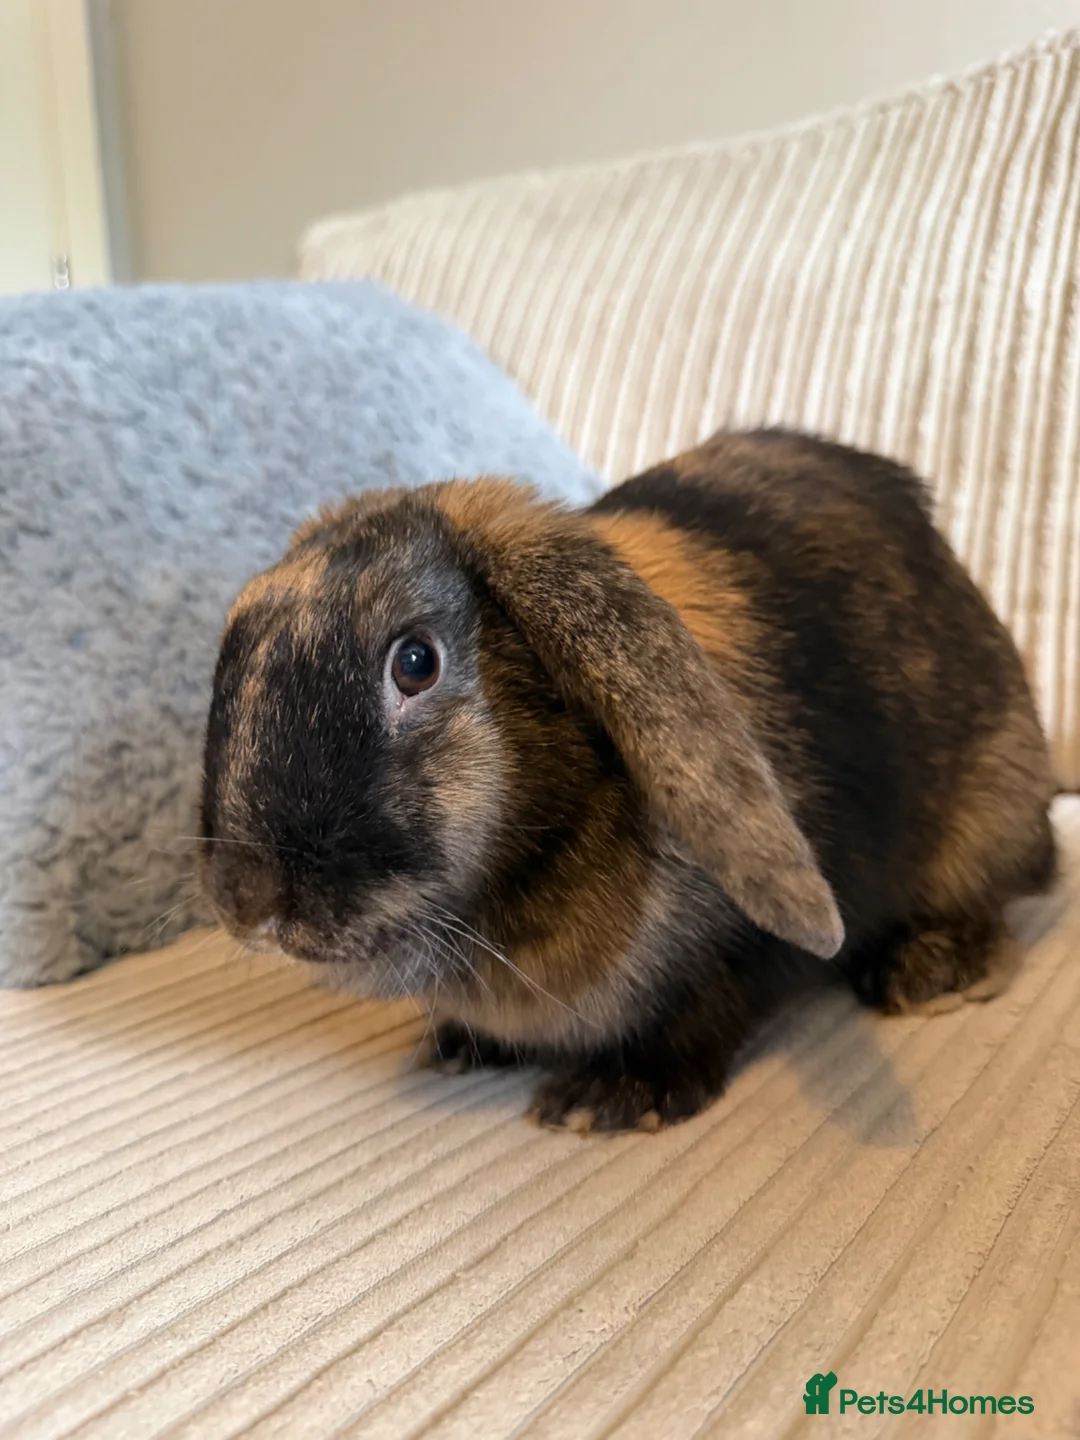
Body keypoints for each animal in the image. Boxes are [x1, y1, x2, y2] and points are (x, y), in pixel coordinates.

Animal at [198, 429, 1057, 1133]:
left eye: (415, 662)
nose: (253, 903)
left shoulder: (730, 953)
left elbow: (707, 1008)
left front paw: (605, 1102)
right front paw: (455, 1045)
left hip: (986, 815)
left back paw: (932, 970)